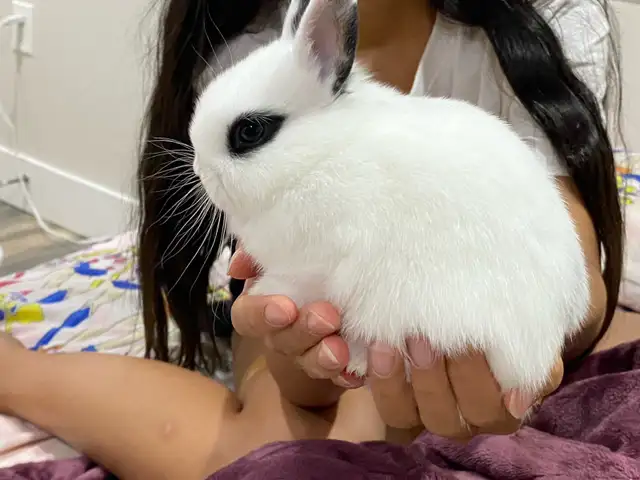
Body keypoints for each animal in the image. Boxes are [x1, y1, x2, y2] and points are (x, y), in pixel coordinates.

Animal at [189, 0, 590, 394]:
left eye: (250, 131)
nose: (200, 170)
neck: (319, 154)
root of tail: (543, 345)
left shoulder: (319, 262)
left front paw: (263, 292)